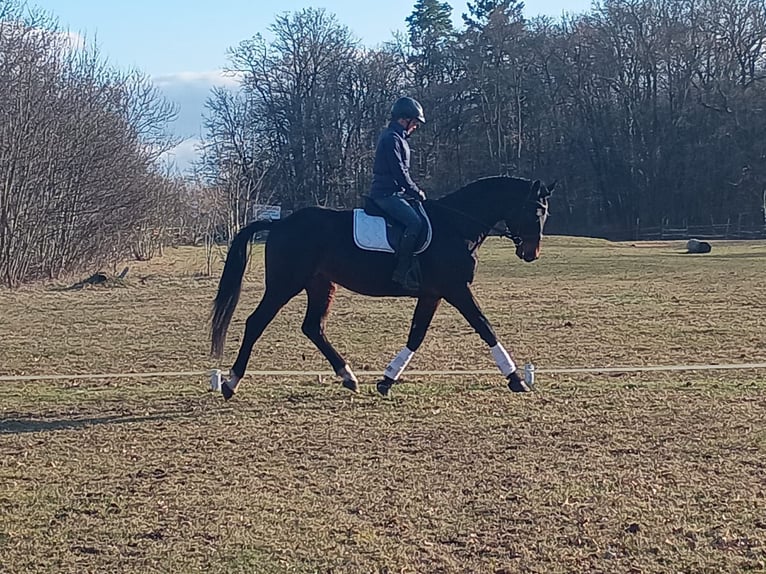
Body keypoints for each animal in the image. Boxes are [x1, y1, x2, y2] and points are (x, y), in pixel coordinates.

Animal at [210, 175, 555, 399]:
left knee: (312, 327)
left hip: (320, 285)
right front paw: (516, 379)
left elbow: (416, 335)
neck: (457, 227)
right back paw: (230, 383)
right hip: (285, 284)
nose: (531, 253)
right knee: (256, 322)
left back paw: (348, 376)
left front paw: (386, 380)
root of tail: (280, 223)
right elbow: (485, 327)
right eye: (535, 210)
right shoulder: (456, 289)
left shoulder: (432, 294)